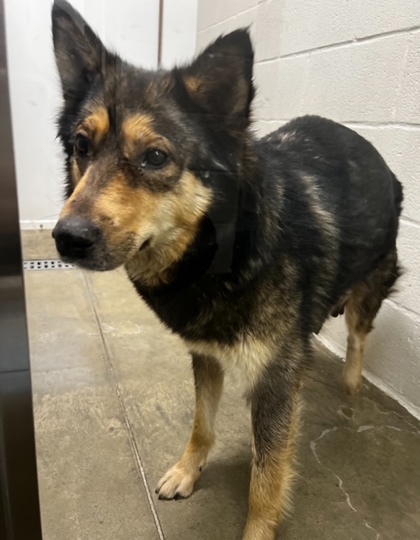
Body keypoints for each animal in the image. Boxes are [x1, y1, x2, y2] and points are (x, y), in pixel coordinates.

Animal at [50, 2, 402, 536]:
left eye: (155, 157)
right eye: (81, 146)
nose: (66, 238)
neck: (224, 247)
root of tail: (376, 153)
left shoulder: (276, 378)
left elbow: (267, 474)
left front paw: (258, 528)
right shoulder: (206, 354)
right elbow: (202, 423)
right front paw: (187, 470)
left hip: (367, 294)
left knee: (359, 341)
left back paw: (350, 386)